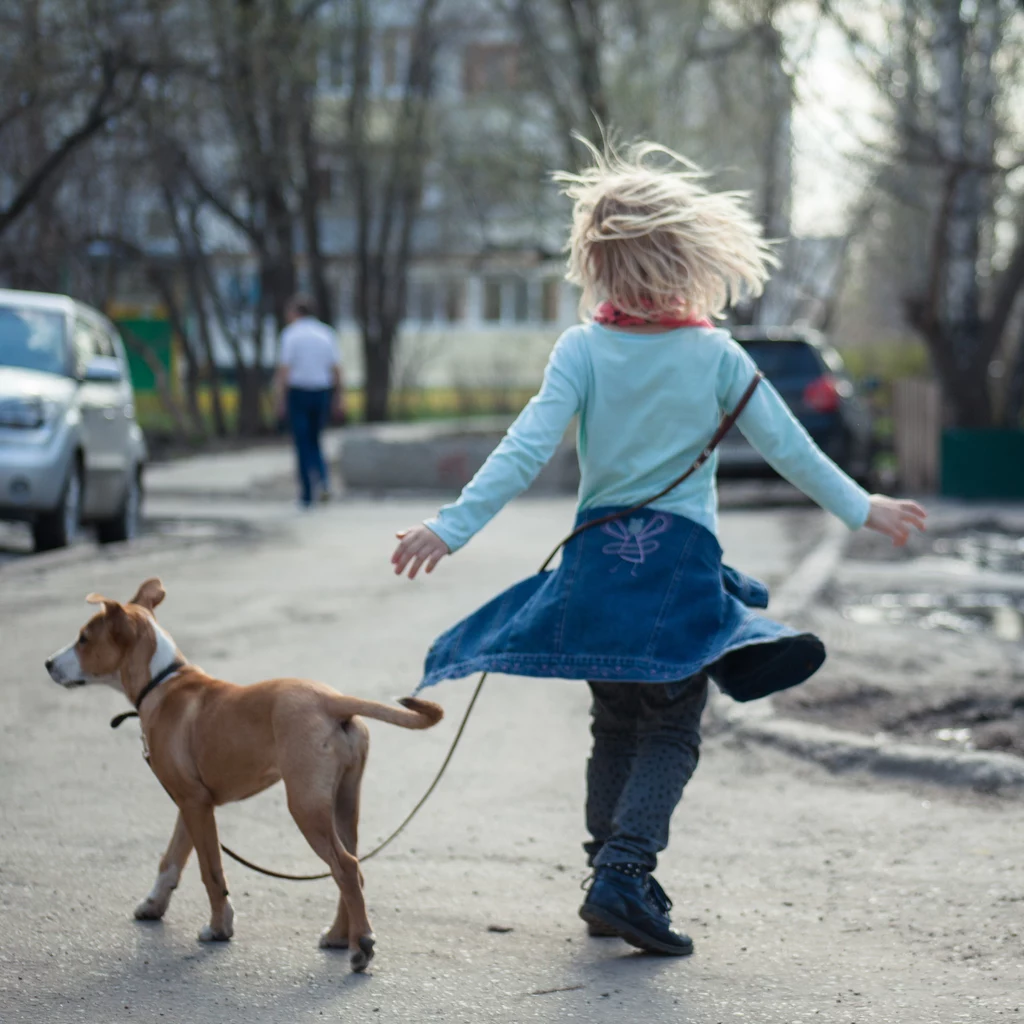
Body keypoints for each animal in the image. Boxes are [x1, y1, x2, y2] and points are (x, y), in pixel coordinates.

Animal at [44, 581, 440, 970]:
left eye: (83, 639)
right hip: (342, 800)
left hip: (305, 805)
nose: (47, 663)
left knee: (344, 865)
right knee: (352, 867)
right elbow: (171, 859)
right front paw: (153, 905)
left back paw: (361, 946)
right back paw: (341, 936)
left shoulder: (196, 804)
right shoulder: (189, 803)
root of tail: (334, 701)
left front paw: (219, 928)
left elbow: (210, 870)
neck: (160, 682)